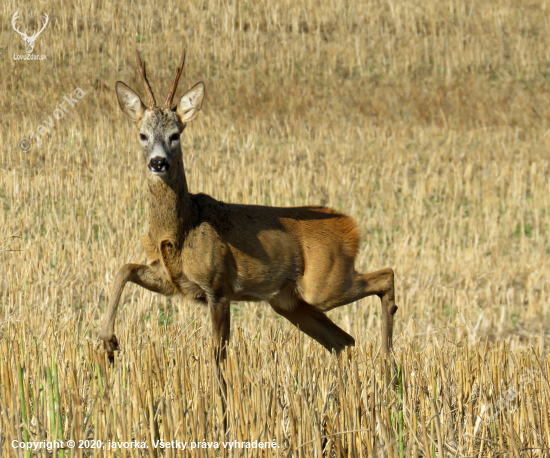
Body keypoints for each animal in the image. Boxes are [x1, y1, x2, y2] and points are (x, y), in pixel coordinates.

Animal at [99, 47, 398, 372]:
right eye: (142, 135)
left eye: (175, 134)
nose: (158, 162)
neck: (183, 226)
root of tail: (351, 225)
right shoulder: (172, 281)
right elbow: (124, 269)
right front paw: (108, 344)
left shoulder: (217, 286)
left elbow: (217, 354)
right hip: (290, 301)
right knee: (344, 341)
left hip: (323, 283)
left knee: (385, 276)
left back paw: (388, 360)